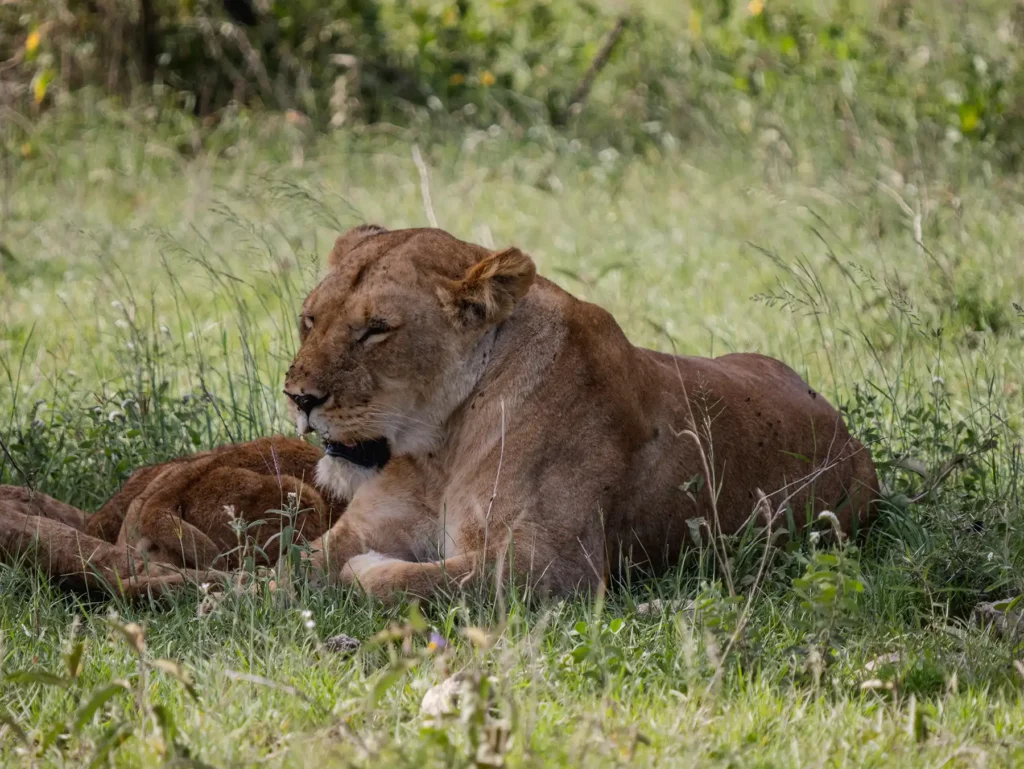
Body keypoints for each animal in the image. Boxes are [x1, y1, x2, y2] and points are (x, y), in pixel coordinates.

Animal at [285, 225, 879, 600]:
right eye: (309, 319)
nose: (298, 398)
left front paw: (368, 570)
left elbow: (405, 579)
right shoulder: (357, 528)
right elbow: (283, 569)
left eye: (376, 329)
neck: (438, 449)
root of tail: (852, 439)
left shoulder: (554, 568)